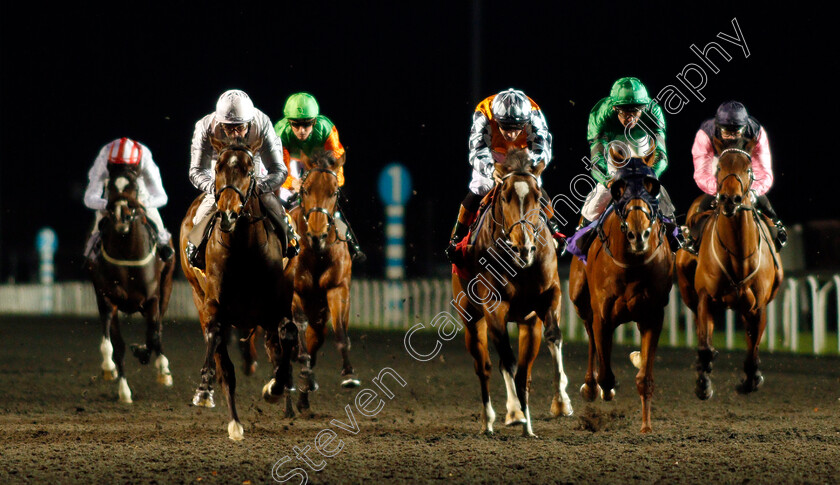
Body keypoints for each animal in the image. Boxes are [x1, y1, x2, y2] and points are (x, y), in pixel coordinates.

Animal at [85, 162, 176, 400]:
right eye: (108, 186)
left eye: (134, 186)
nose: (121, 216)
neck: (127, 255)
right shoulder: (107, 299)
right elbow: (113, 345)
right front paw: (116, 378)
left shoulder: (153, 298)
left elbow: (153, 334)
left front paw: (150, 358)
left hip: (166, 287)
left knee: (158, 329)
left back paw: (162, 367)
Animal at [179, 135, 296, 438]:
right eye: (218, 167)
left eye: (249, 170)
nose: (229, 214)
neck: (243, 248)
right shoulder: (213, 305)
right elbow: (219, 349)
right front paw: (207, 393)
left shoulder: (278, 303)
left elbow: (288, 336)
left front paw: (276, 388)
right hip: (198, 295)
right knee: (221, 355)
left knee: (275, 345)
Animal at [450, 147, 576, 434]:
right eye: (504, 196)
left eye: (538, 197)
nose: (523, 248)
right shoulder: (494, 307)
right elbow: (506, 360)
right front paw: (515, 411)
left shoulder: (549, 296)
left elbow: (554, 337)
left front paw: (561, 402)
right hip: (472, 320)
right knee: (484, 366)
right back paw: (490, 420)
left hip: (528, 324)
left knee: (523, 373)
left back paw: (527, 425)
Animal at [568, 148, 672, 434]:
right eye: (619, 189)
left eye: (651, 186)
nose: (639, 234)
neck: (632, 266)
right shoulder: (602, 316)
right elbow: (606, 373)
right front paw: (603, 389)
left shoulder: (653, 316)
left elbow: (644, 378)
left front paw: (646, 427)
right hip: (580, 301)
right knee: (591, 337)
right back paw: (590, 387)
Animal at [672, 135, 784, 398]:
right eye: (720, 167)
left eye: (748, 168)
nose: (729, 199)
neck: (739, 256)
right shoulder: (705, 298)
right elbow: (704, 345)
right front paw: (703, 383)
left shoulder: (758, 306)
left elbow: (753, 351)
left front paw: (751, 380)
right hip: (691, 294)